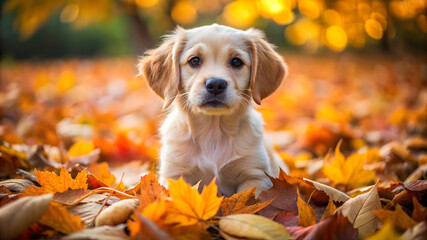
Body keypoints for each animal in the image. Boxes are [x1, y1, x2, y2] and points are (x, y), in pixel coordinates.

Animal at [140, 23, 288, 197]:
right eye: (195, 60)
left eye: (236, 61)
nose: (216, 84)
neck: (214, 131)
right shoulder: (174, 174)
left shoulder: (256, 176)